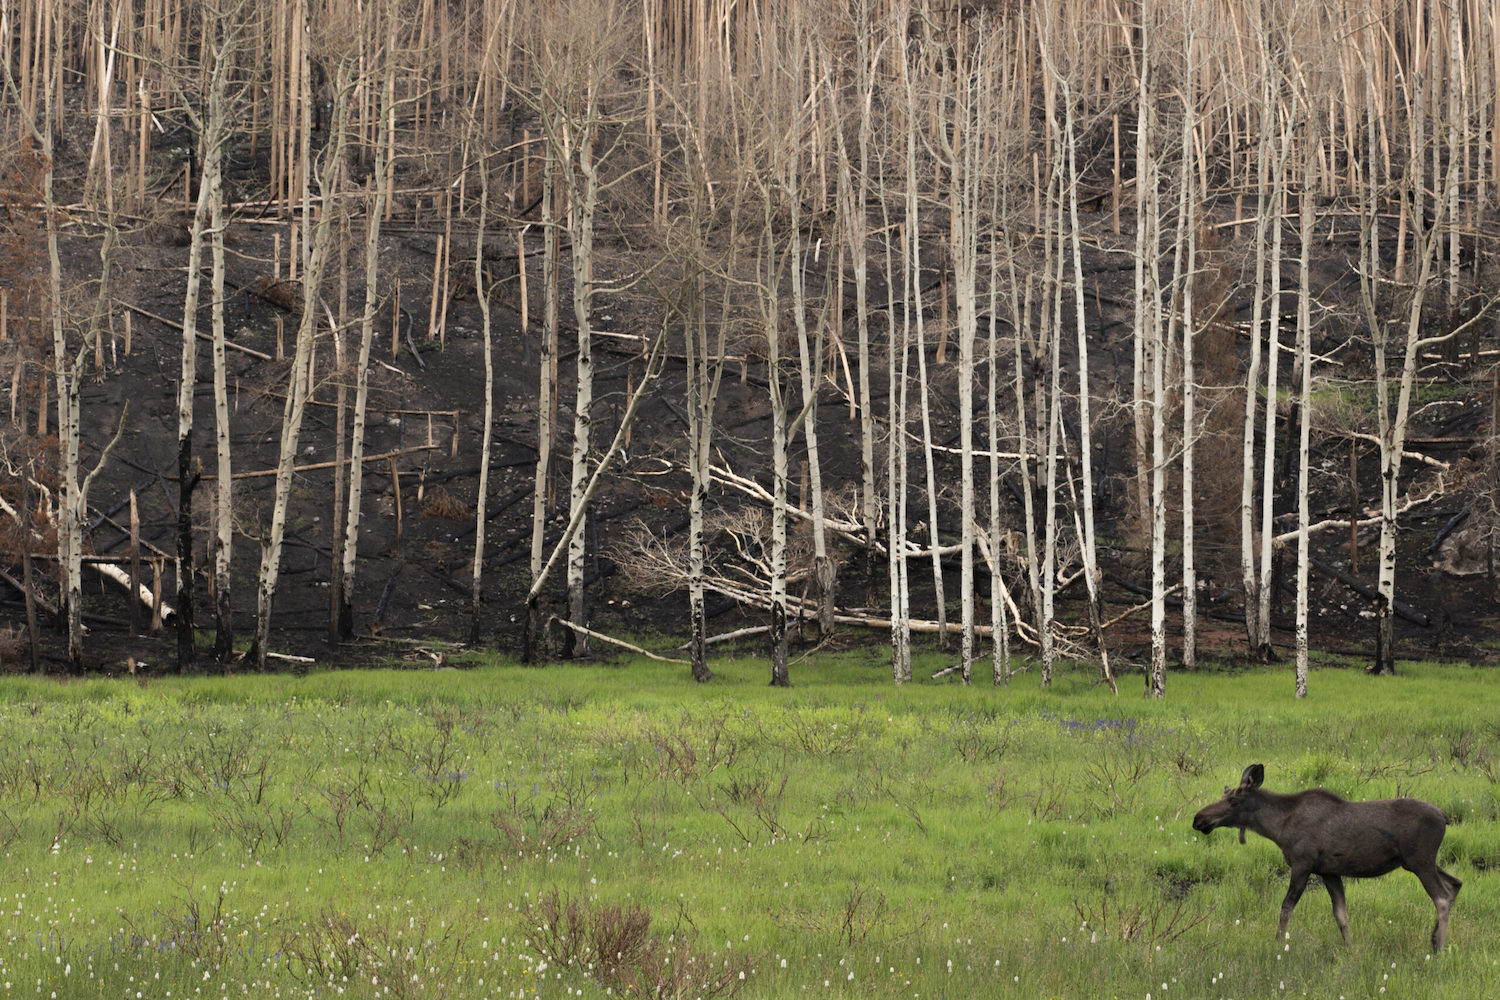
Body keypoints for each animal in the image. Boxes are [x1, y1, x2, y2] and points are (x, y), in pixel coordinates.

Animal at [1194, 761, 1464, 953]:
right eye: (1224, 794)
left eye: (1233, 799)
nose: (1198, 819)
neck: (1278, 828)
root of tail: (1444, 817)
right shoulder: (1329, 871)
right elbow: (1341, 915)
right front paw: (1350, 950)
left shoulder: (1302, 864)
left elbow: (1286, 908)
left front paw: (1277, 944)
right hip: (1422, 862)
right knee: (1455, 884)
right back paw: (1434, 939)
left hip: (1420, 861)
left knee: (1441, 897)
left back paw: (1438, 948)